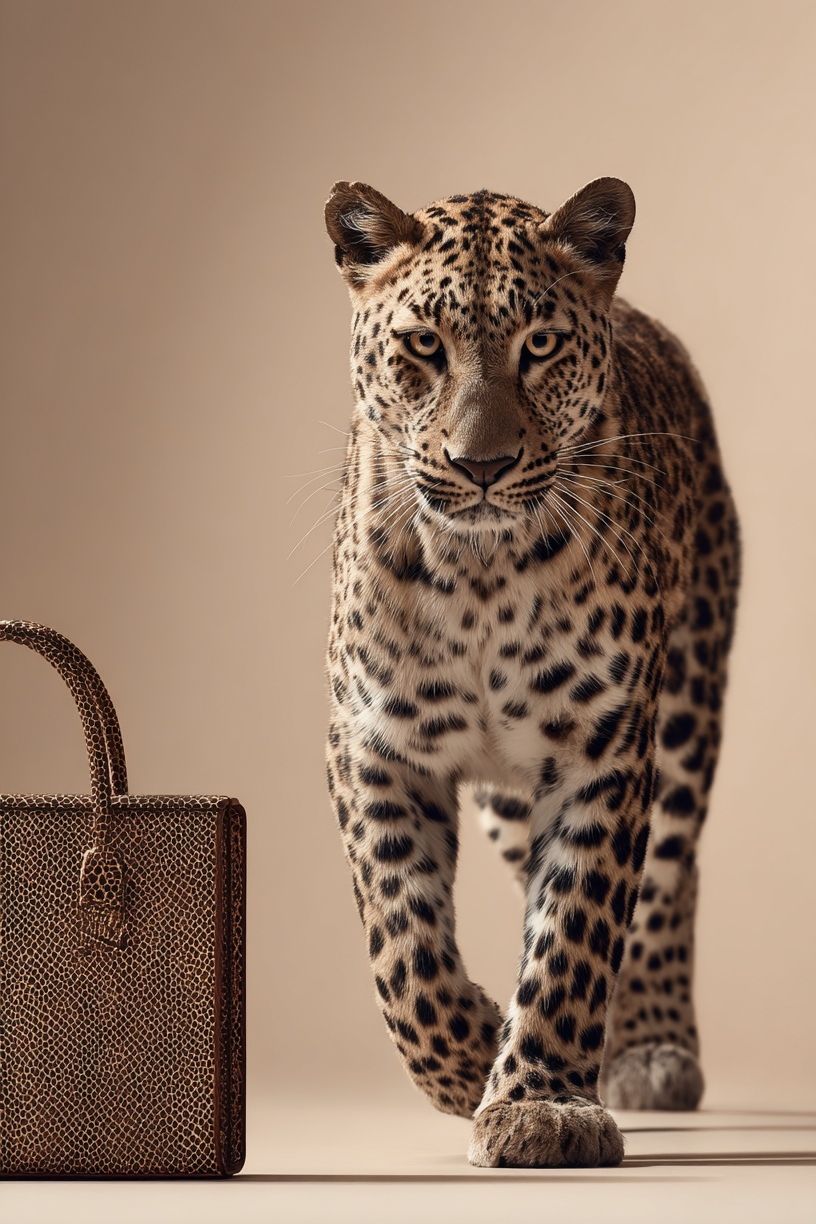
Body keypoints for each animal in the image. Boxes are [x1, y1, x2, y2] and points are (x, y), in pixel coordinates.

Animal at [322, 176, 740, 1169]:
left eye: (539, 345)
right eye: (423, 346)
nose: (481, 466)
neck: (479, 572)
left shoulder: (604, 751)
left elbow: (577, 933)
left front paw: (539, 1101)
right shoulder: (375, 746)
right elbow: (402, 952)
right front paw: (473, 1051)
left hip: (686, 712)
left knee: (668, 880)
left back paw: (651, 1048)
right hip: (509, 803)